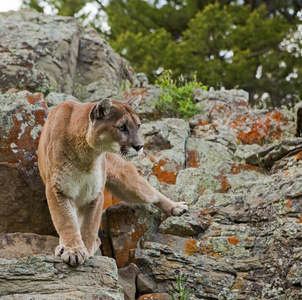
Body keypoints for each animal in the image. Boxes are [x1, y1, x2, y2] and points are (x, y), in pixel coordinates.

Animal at [38, 96, 188, 264]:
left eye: (138, 126)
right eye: (122, 127)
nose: (139, 146)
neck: (86, 156)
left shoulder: (94, 194)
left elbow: (89, 226)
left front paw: (85, 249)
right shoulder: (57, 189)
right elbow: (66, 221)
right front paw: (73, 249)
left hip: (129, 186)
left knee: (152, 193)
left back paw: (176, 207)